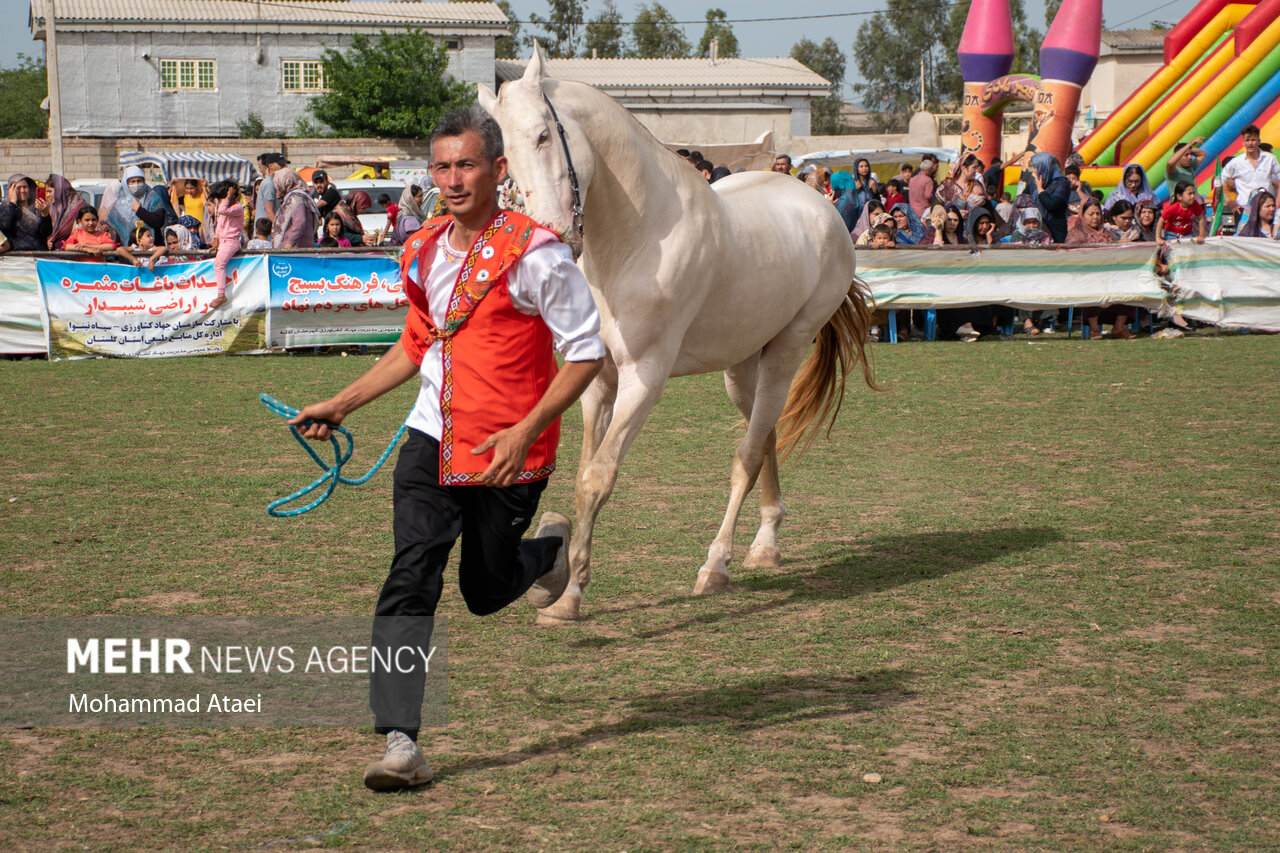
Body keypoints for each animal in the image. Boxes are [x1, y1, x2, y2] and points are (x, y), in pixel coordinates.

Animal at [481, 46, 880, 617]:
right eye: (505, 156)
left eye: (541, 135)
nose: (550, 235)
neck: (639, 238)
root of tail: (819, 205)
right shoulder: (597, 380)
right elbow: (582, 476)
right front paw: (567, 582)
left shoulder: (644, 379)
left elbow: (599, 477)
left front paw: (571, 596)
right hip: (741, 367)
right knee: (765, 436)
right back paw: (765, 544)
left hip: (785, 352)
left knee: (747, 455)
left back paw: (717, 565)